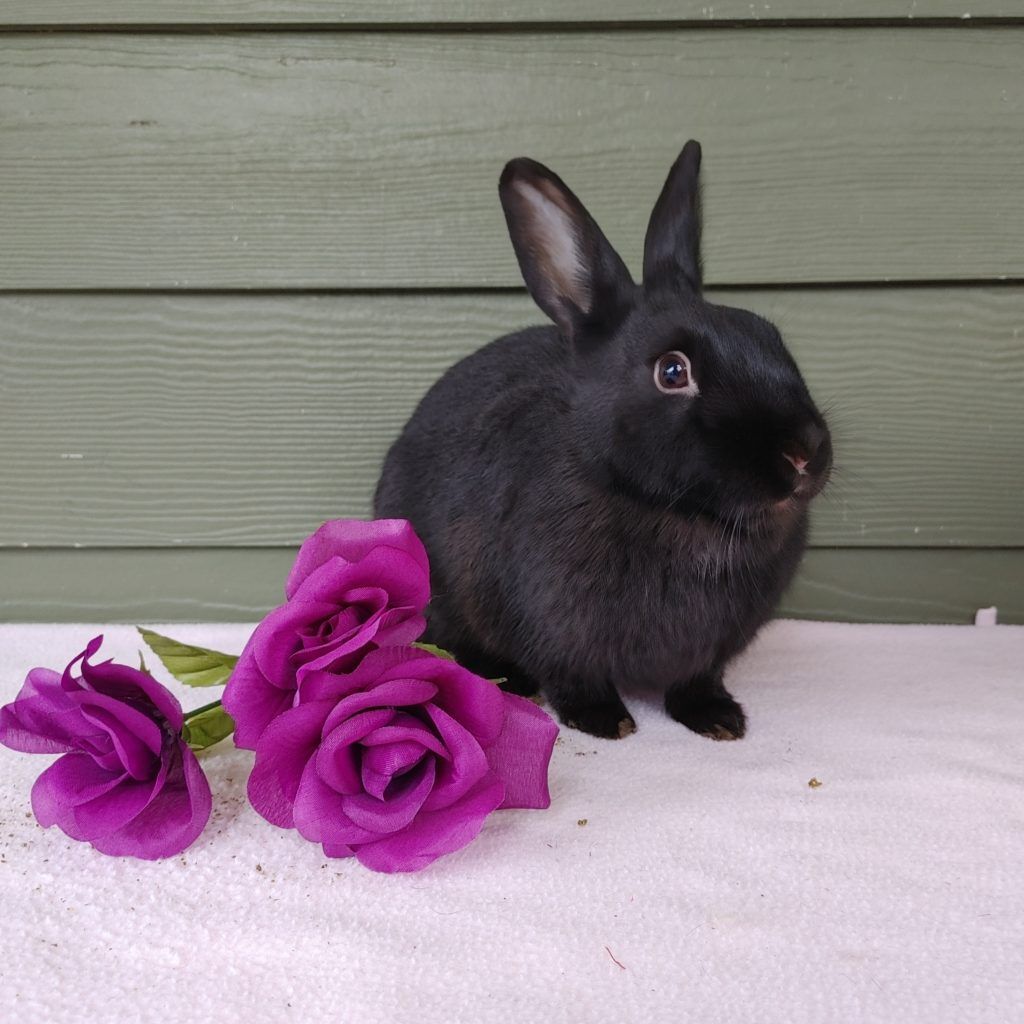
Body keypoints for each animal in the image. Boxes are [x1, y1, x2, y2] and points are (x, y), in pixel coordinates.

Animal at [374, 140, 832, 740]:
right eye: (672, 371)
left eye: (772, 339)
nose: (804, 454)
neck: (682, 514)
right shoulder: (550, 622)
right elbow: (573, 673)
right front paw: (606, 721)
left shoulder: (712, 650)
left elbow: (697, 679)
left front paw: (719, 720)